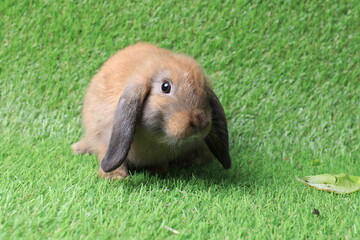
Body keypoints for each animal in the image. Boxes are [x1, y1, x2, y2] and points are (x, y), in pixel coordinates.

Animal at [71, 42, 232, 178]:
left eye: (203, 88)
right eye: (165, 87)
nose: (201, 121)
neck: (157, 138)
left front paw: (157, 171)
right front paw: (114, 176)